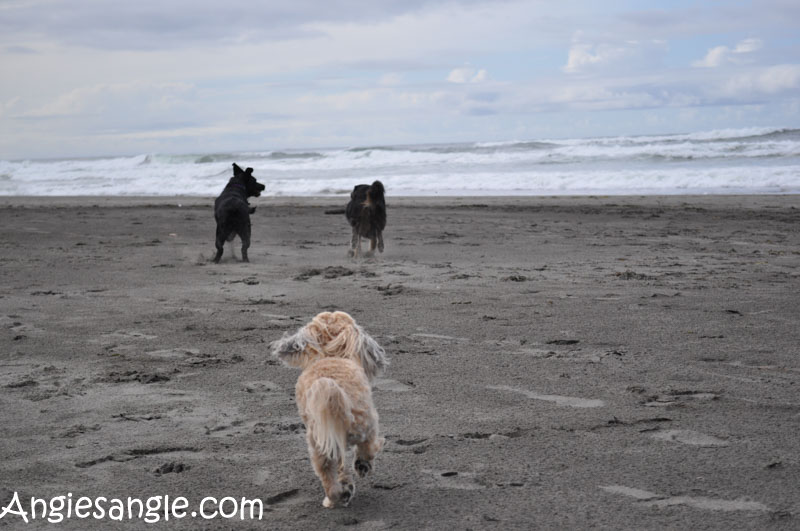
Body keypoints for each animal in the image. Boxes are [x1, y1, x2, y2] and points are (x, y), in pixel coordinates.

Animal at [272, 312, 388, 512]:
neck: (329, 356)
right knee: (367, 447)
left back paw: (338, 495)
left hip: (320, 444)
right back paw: (361, 467)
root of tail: (331, 388)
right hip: (366, 423)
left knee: (329, 474)